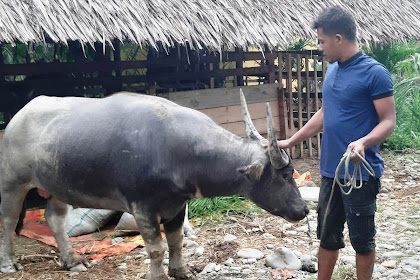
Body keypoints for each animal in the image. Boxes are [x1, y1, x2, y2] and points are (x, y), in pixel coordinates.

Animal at [0, 91, 308, 278]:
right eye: (284, 175)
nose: (303, 210)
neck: (177, 152)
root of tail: (18, 117)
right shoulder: (143, 208)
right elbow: (157, 248)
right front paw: (159, 274)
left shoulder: (177, 205)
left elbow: (176, 242)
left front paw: (181, 271)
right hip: (12, 184)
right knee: (8, 221)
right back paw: (9, 263)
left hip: (57, 187)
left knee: (55, 218)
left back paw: (73, 260)